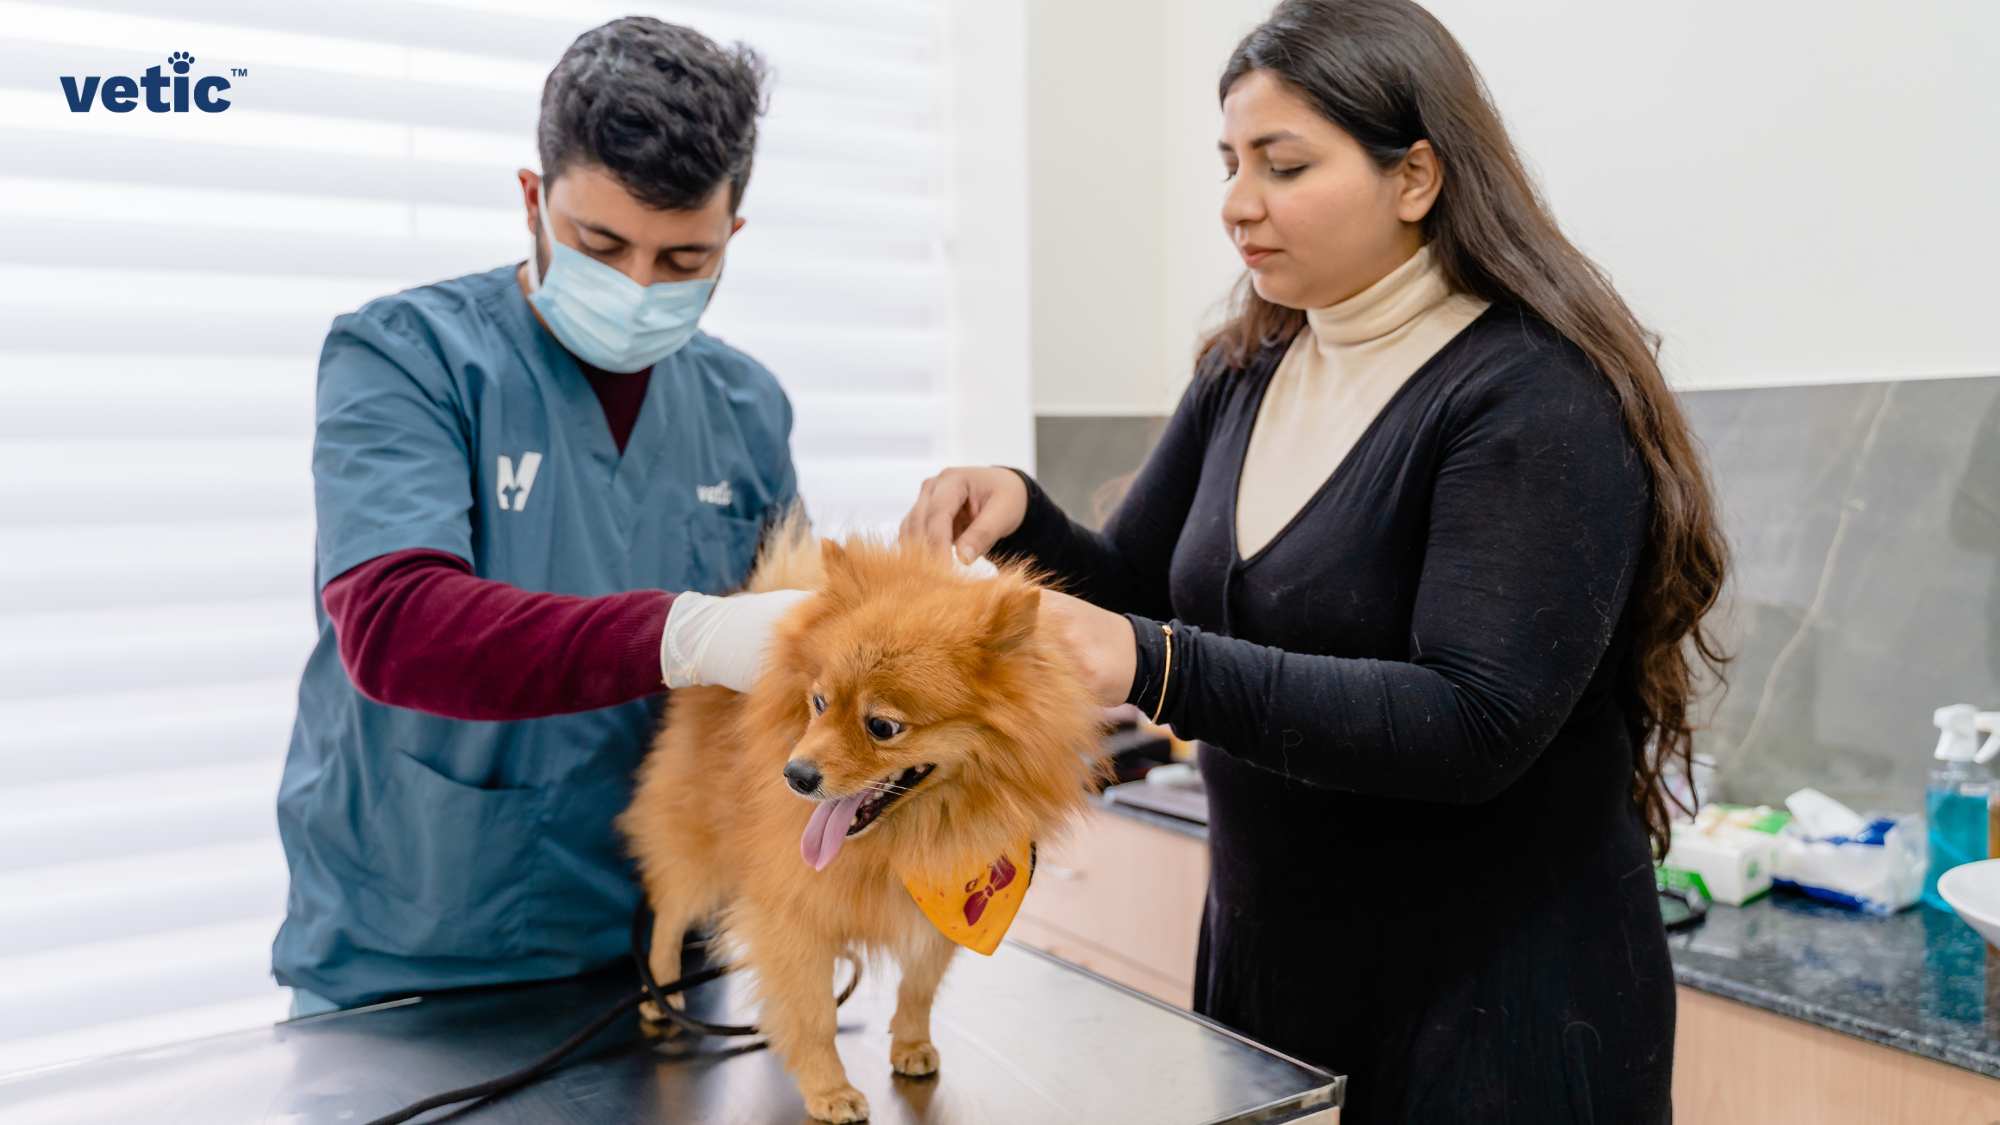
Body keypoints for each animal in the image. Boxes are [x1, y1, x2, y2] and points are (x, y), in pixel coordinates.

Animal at [616, 520, 1104, 1112]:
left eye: (882, 727)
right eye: (819, 703)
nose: (795, 774)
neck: (908, 838)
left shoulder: (940, 909)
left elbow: (918, 989)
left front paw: (912, 1043)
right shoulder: (793, 912)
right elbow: (814, 1015)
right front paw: (829, 1088)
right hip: (699, 846)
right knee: (669, 911)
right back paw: (661, 990)